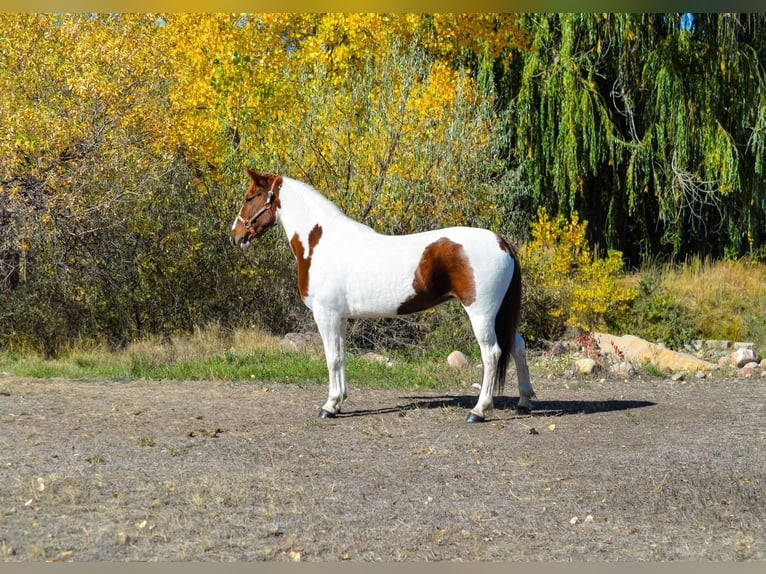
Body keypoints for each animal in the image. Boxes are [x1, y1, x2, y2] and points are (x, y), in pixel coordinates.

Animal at [231, 168, 536, 424]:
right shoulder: (340, 317)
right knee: (517, 346)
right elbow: (341, 354)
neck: (320, 243)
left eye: (249, 197)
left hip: (481, 313)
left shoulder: (325, 314)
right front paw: (339, 402)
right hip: (500, 314)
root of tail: (501, 242)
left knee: (492, 353)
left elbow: (332, 357)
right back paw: (524, 401)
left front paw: (329, 406)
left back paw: (479, 410)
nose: (235, 235)